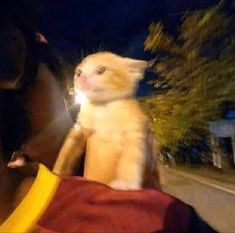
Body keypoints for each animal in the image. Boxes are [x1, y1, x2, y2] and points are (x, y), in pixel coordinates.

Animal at [52, 52, 161, 190]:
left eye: (101, 70)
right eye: (79, 71)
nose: (78, 74)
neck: (103, 109)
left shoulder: (135, 132)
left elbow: (132, 157)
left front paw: (125, 183)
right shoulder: (80, 128)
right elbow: (67, 151)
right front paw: (57, 171)